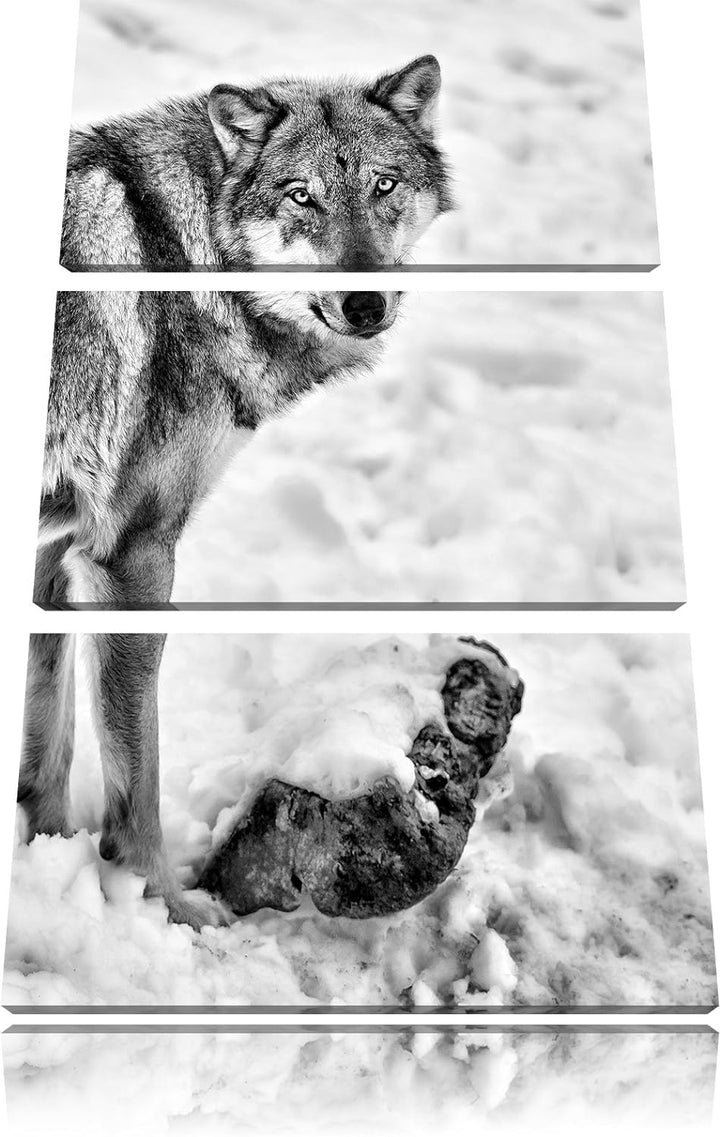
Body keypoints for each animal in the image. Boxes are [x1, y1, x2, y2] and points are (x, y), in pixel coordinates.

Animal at [21, 288, 401, 930]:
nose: (367, 306)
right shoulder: (133, 554)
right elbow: (137, 776)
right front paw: (166, 905)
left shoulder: (56, 546)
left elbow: (49, 737)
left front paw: (50, 853)